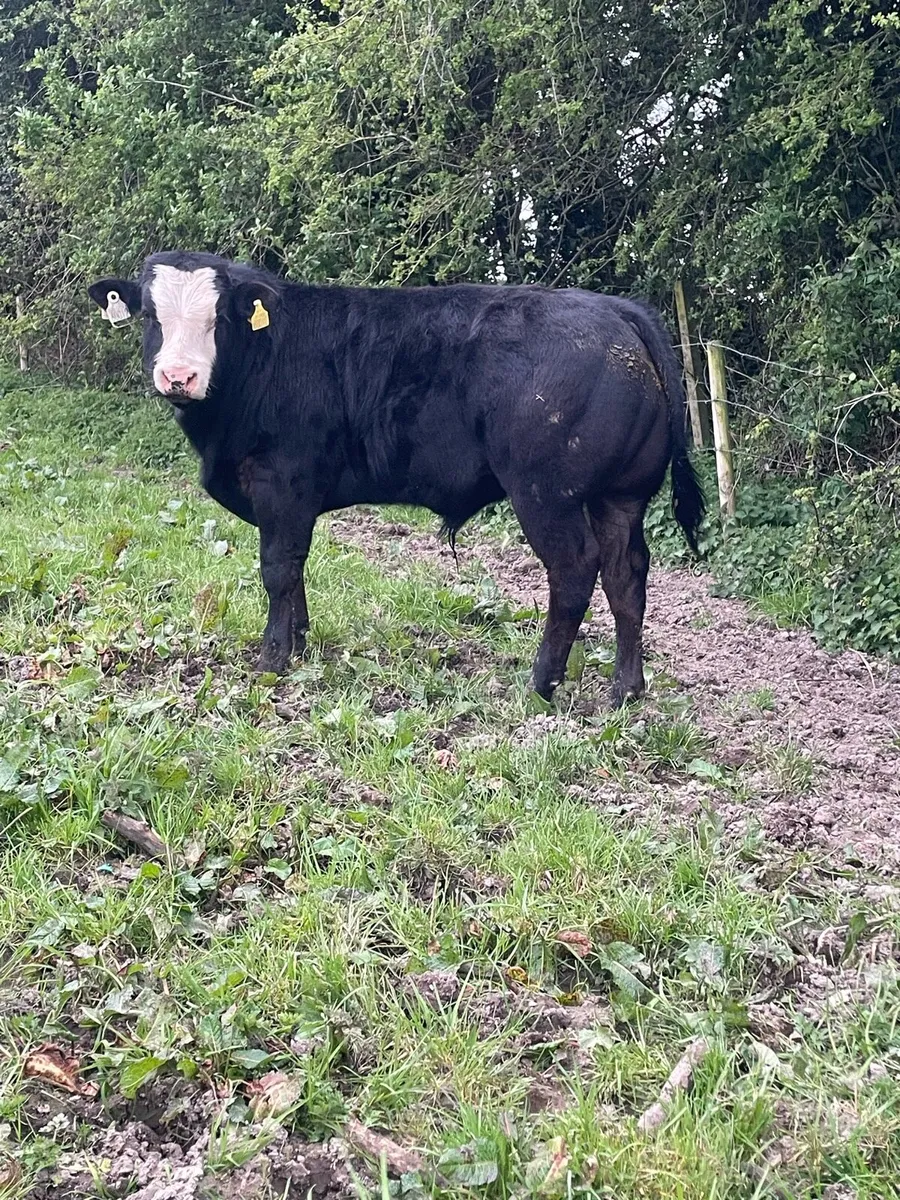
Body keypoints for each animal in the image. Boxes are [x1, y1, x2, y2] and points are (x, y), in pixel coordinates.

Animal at [89, 251, 704, 705]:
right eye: (151, 318)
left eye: (218, 319)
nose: (179, 376)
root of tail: (616, 310)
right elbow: (296, 571)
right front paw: (301, 644)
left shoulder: (282, 484)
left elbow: (277, 570)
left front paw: (272, 659)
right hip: (619, 497)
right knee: (627, 577)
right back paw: (626, 690)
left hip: (545, 494)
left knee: (575, 571)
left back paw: (540, 683)